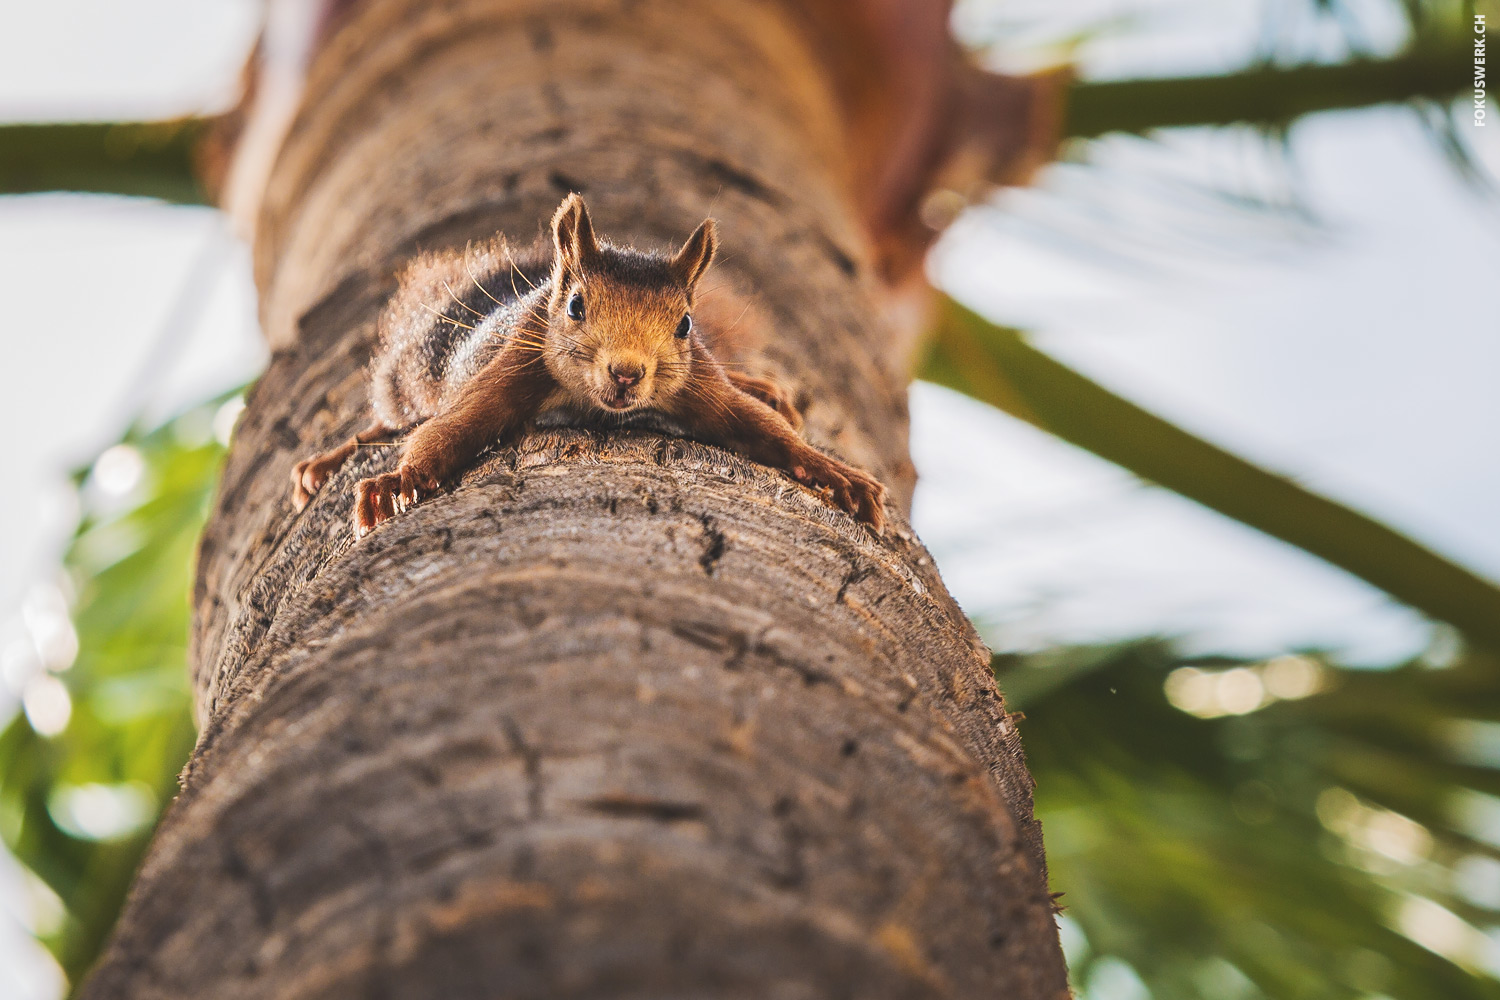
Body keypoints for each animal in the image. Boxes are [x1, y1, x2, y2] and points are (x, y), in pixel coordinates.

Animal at [286, 196, 882, 539]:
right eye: (575, 307)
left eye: (685, 324)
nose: (627, 373)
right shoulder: (521, 359)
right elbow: (452, 428)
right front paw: (398, 481)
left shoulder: (697, 383)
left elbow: (761, 428)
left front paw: (839, 476)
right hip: (410, 378)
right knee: (389, 421)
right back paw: (323, 464)